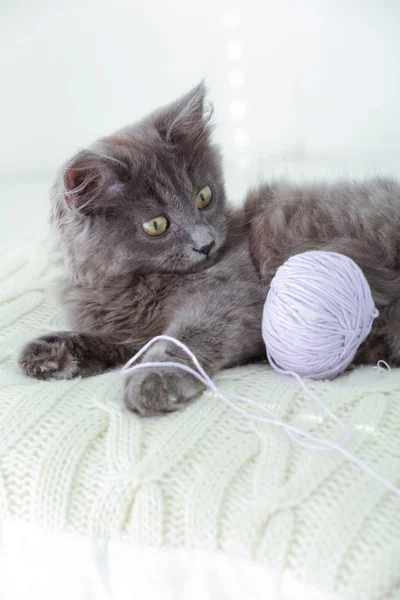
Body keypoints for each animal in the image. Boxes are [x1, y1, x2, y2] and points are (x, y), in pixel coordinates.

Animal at [19, 82, 400, 414]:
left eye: (204, 196)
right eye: (156, 225)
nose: (206, 244)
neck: (131, 284)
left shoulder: (233, 297)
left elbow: (179, 340)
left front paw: (153, 381)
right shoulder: (132, 327)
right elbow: (118, 341)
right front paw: (49, 354)